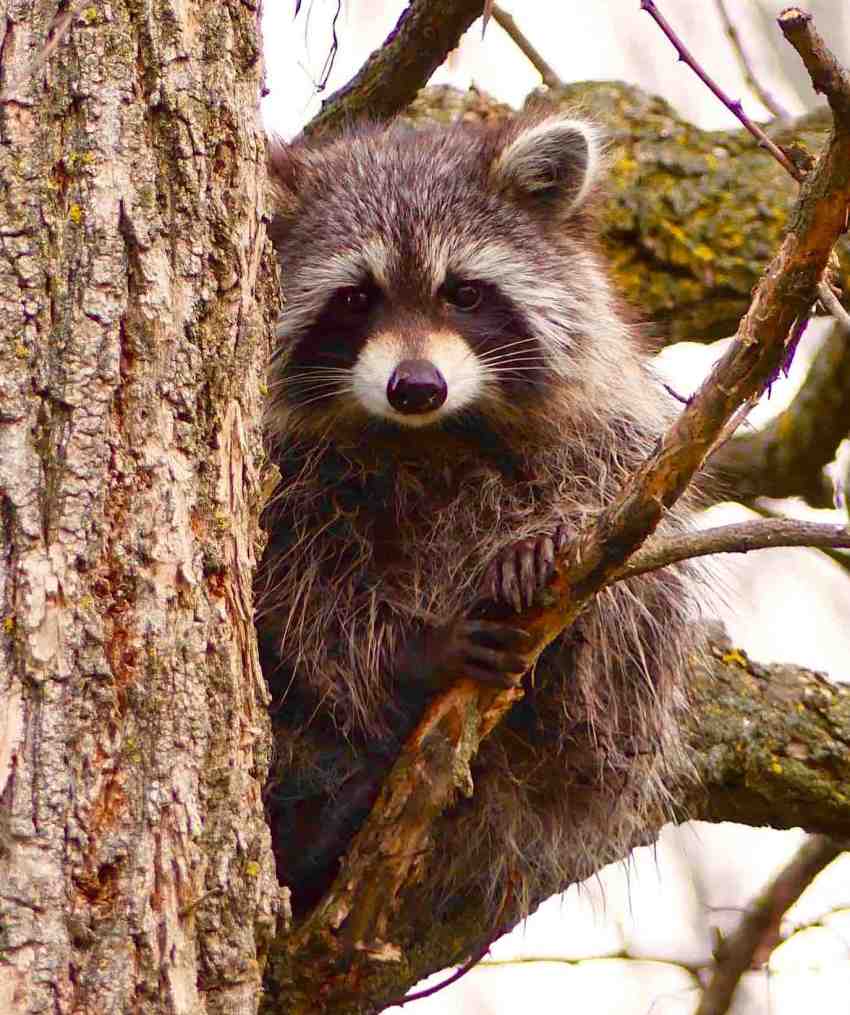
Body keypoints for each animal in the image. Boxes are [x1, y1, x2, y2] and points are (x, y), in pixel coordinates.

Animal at [258, 111, 700, 924]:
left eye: (463, 293)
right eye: (355, 299)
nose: (416, 386)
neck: (430, 435)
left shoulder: (616, 433)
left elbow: (638, 596)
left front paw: (551, 549)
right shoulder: (285, 469)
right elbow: (295, 590)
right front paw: (410, 653)